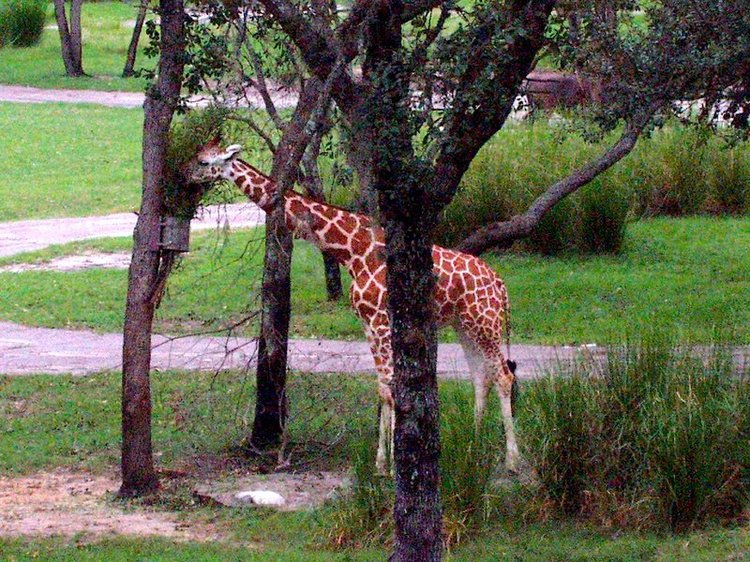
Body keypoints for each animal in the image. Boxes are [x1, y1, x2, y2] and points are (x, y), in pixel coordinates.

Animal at [185, 138, 520, 470]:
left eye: (203, 161)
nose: (186, 176)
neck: (351, 252)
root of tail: (502, 285)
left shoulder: (381, 320)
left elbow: (391, 387)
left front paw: (394, 464)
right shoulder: (367, 323)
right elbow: (383, 387)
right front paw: (381, 464)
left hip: (485, 322)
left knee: (504, 375)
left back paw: (512, 460)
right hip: (464, 324)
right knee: (481, 377)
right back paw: (473, 448)